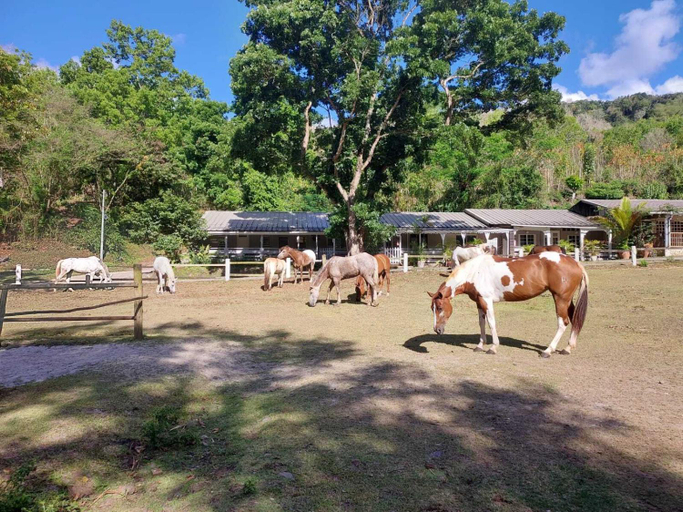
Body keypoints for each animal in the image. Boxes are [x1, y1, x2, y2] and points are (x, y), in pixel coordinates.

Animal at [428, 252, 588, 358]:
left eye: (440, 307)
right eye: (432, 308)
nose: (437, 330)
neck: (474, 272)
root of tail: (575, 263)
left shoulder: (486, 301)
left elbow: (491, 323)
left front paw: (493, 348)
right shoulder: (479, 302)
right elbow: (481, 323)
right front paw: (480, 346)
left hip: (560, 299)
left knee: (563, 323)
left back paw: (548, 351)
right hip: (567, 300)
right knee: (574, 320)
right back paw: (567, 348)